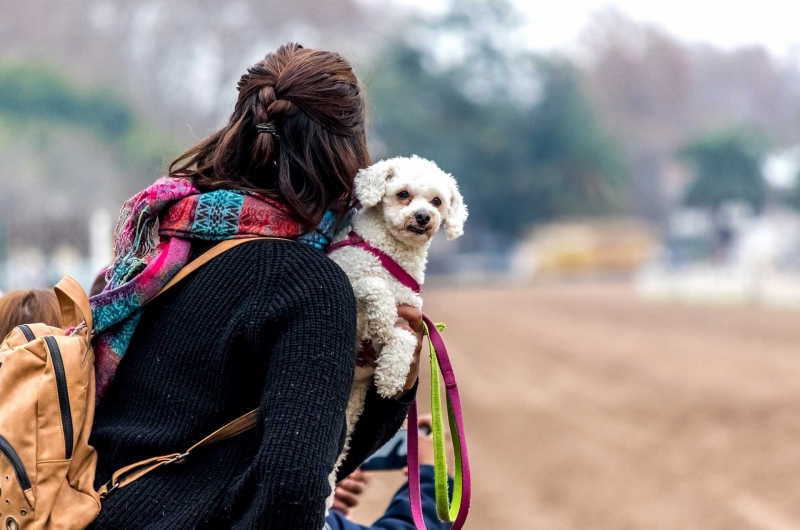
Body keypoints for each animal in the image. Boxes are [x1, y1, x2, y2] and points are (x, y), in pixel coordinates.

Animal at [326, 154, 466, 486]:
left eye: (437, 201)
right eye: (403, 194)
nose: (423, 217)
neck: (391, 253)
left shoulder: (409, 317)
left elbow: (404, 338)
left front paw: (391, 376)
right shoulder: (349, 280)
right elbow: (374, 286)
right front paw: (382, 316)